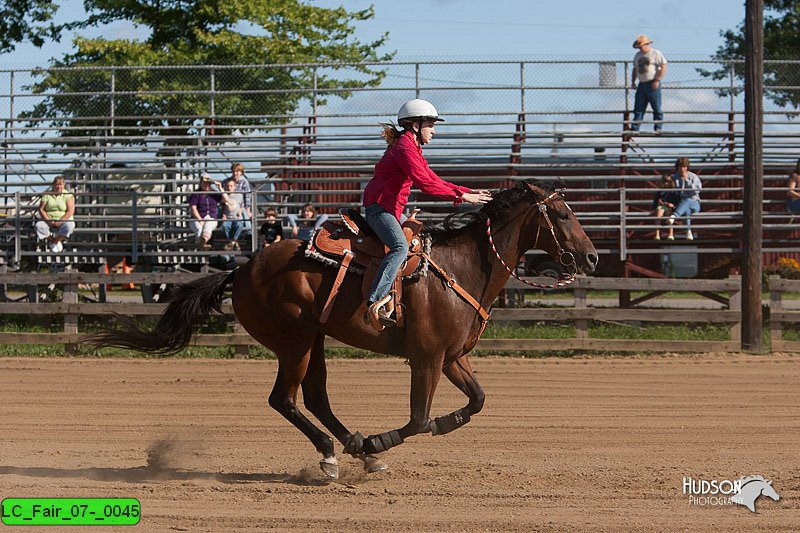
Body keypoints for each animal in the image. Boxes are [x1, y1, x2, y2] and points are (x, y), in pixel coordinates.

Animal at [86, 180, 592, 478]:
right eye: (562, 214)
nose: (590, 258)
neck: (461, 267)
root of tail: (242, 269)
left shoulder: (452, 358)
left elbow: (477, 401)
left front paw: (421, 430)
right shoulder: (426, 359)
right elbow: (417, 419)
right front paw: (382, 438)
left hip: (314, 339)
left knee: (315, 398)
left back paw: (353, 446)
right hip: (292, 342)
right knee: (285, 399)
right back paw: (338, 451)